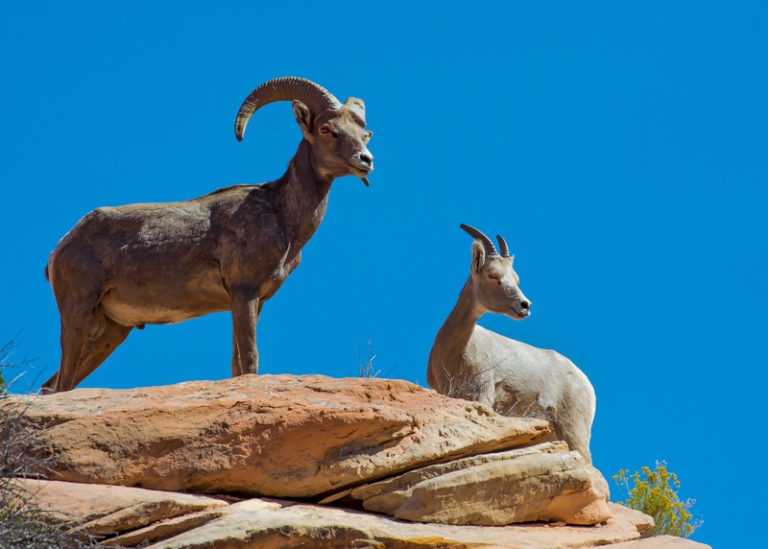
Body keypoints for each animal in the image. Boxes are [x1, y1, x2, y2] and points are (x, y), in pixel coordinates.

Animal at [42, 77, 376, 394]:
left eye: (364, 134)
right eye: (326, 129)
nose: (366, 159)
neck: (280, 214)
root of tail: (58, 250)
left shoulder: (253, 300)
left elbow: (237, 365)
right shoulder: (243, 292)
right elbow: (249, 361)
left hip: (109, 331)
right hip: (78, 312)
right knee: (60, 383)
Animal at [428, 225, 596, 460]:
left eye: (516, 279)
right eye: (493, 275)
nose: (525, 305)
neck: (456, 352)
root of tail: (586, 384)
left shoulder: (482, 395)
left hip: (573, 430)